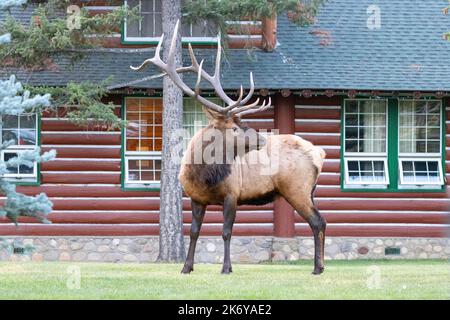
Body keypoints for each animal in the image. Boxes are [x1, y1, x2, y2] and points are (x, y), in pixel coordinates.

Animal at [131, 20, 326, 276]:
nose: (262, 139)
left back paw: (318, 268)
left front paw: (226, 268)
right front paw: (186, 267)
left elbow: (226, 232)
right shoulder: (196, 198)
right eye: (234, 127)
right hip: (307, 191)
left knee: (317, 221)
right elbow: (193, 232)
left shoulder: (232, 195)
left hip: (297, 188)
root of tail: (319, 154)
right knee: (321, 221)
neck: (203, 175)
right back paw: (319, 266)